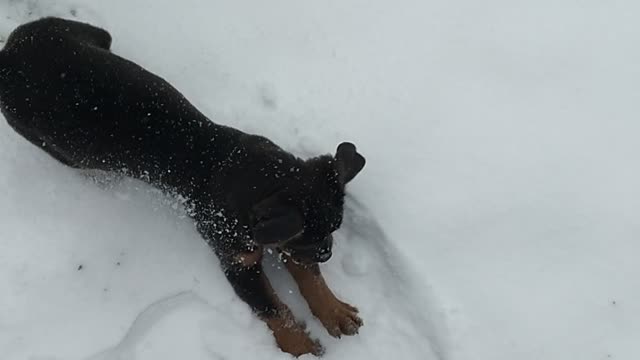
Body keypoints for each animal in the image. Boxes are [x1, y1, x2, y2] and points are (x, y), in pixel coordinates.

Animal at [0, 17, 364, 358]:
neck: (244, 171)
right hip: (52, 143)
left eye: (335, 228)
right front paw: (299, 345)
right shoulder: (236, 263)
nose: (328, 253)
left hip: (93, 34)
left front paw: (335, 311)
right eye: (307, 236)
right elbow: (271, 307)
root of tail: (9, 53)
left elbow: (310, 277)